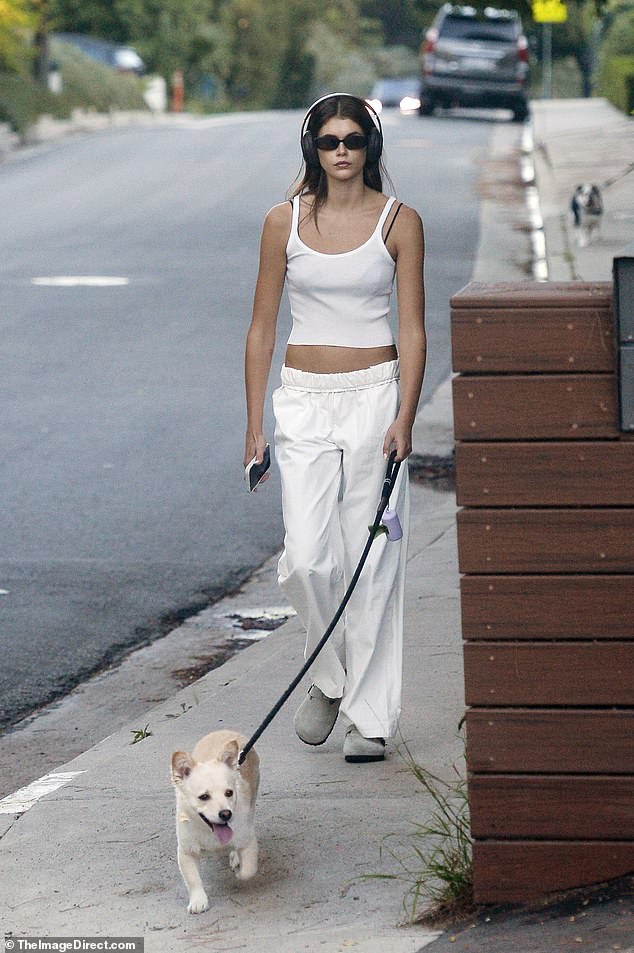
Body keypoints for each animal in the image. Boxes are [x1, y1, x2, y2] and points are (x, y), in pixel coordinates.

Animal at [170, 732, 260, 912]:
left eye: (229, 793)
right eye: (204, 797)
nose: (226, 814)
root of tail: (226, 731)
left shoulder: (248, 842)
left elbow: (248, 870)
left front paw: (239, 872)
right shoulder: (186, 852)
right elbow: (193, 880)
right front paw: (198, 901)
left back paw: (235, 857)